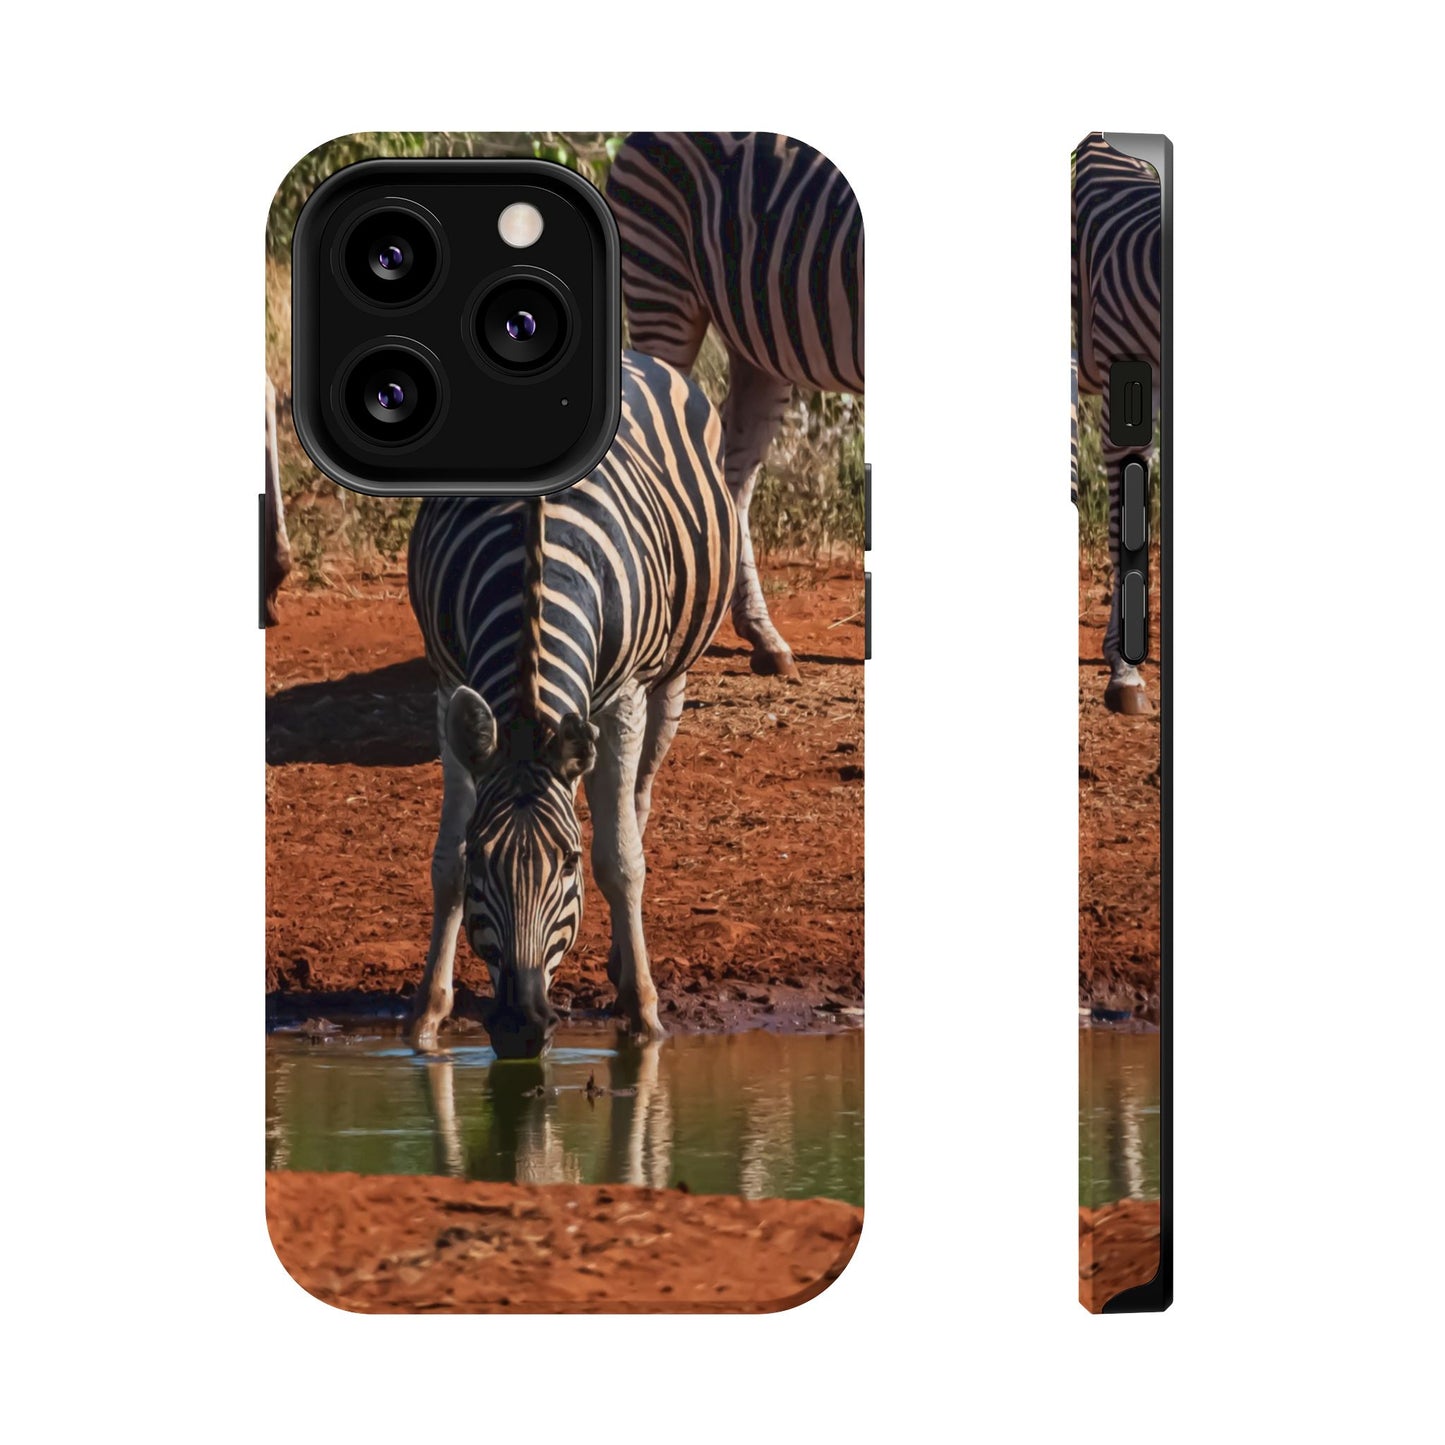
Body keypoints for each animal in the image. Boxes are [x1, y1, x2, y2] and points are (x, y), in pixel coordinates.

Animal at [406, 350, 738, 1056]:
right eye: (484, 858)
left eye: (568, 864)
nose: (520, 1029)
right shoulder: (449, 685)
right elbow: (444, 864)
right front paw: (426, 1014)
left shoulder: (624, 697)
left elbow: (621, 861)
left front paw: (643, 1014)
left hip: (668, 681)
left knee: (636, 802)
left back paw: (622, 964)